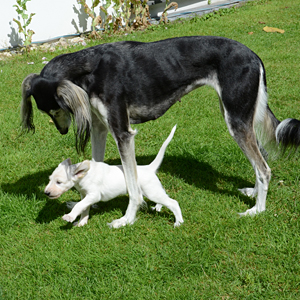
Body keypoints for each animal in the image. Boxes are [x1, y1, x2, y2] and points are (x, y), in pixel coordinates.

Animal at [44, 126, 183, 227]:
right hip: (154, 190)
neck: (84, 175)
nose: (46, 193)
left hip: (151, 191)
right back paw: (158, 207)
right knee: (165, 198)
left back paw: (178, 222)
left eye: (59, 182)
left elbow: (79, 205)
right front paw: (82, 222)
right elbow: (84, 208)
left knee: (173, 202)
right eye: (50, 180)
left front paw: (70, 216)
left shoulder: (94, 195)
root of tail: (148, 168)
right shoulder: (85, 195)